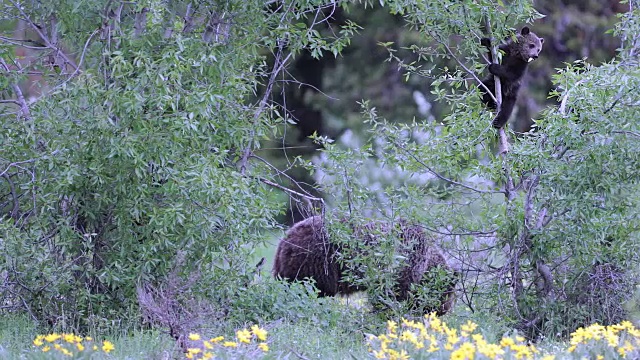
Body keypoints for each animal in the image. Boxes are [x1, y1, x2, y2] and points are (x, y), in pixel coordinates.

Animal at [272, 217, 458, 316]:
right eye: (448, 295)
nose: (443, 311)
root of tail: (285, 240)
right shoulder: (401, 267)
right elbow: (392, 295)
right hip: (318, 260)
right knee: (312, 290)